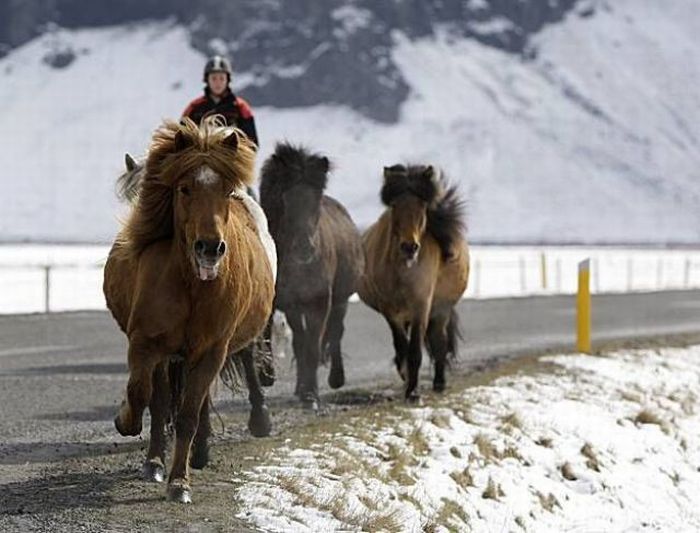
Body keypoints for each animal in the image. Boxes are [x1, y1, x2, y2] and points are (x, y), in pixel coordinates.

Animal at [102, 117, 274, 502]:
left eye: (226, 190)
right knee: (159, 398)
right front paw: (125, 422)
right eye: (183, 189)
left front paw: (180, 482)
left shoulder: (211, 350)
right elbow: (144, 396)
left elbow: (188, 415)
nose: (209, 248)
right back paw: (156, 460)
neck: (193, 284)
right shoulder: (148, 343)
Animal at [258, 142, 366, 412]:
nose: (305, 249)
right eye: (285, 198)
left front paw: (312, 396)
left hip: (340, 300)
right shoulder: (285, 303)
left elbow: (314, 346)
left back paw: (336, 378)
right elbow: (290, 341)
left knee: (336, 331)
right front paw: (276, 379)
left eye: (315, 199)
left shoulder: (319, 302)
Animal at [358, 164, 468, 402]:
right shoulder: (390, 311)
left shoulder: (421, 305)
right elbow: (402, 345)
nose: (409, 247)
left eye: (422, 205)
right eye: (394, 205)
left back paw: (439, 383)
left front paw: (413, 391)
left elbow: (416, 350)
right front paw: (405, 375)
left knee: (439, 342)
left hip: (441, 309)